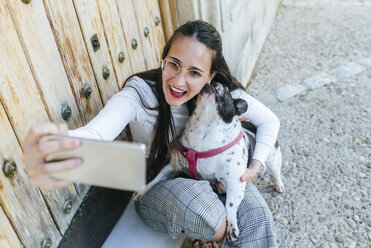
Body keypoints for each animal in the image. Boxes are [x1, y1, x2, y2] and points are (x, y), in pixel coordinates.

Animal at [134, 81, 284, 242]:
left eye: (226, 89)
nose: (212, 82)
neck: (204, 130)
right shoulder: (171, 168)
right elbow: (156, 179)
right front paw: (143, 190)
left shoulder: (235, 183)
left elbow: (230, 205)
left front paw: (231, 225)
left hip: (273, 157)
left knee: (275, 171)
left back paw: (279, 184)